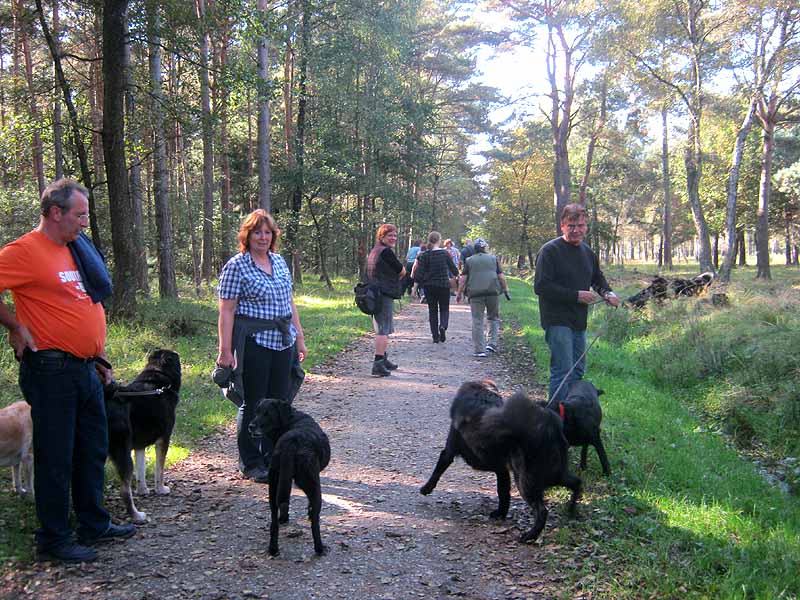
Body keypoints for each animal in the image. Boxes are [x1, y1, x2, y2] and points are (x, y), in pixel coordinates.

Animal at [103, 350, 181, 524]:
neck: (157, 383)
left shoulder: (139, 446)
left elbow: (141, 470)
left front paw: (143, 490)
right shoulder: (164, 439)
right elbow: (159, 470)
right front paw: (160, 489)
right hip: (123, 454)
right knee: (124, 491)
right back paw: (137, 516)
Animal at [247, 398, 328, 556]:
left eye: (266, 414)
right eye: (257, 411)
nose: (251, 426)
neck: (291, 418)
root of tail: (291, 442)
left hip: (274, 484)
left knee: (274, 519)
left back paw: (273, 548)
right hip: (313, 485)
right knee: (315, 522)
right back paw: (320, 548)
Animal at [418, 380, 580, 544]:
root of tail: (549, 427)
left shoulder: (449, 452)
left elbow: (437, 471)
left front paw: (426, 488)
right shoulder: (502, 470)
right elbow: (503, 493)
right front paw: (500, 513)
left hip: (525, 481)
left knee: (542, 511)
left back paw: (529, 536)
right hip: (555, 473)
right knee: (576, 483)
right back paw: (571, 510)